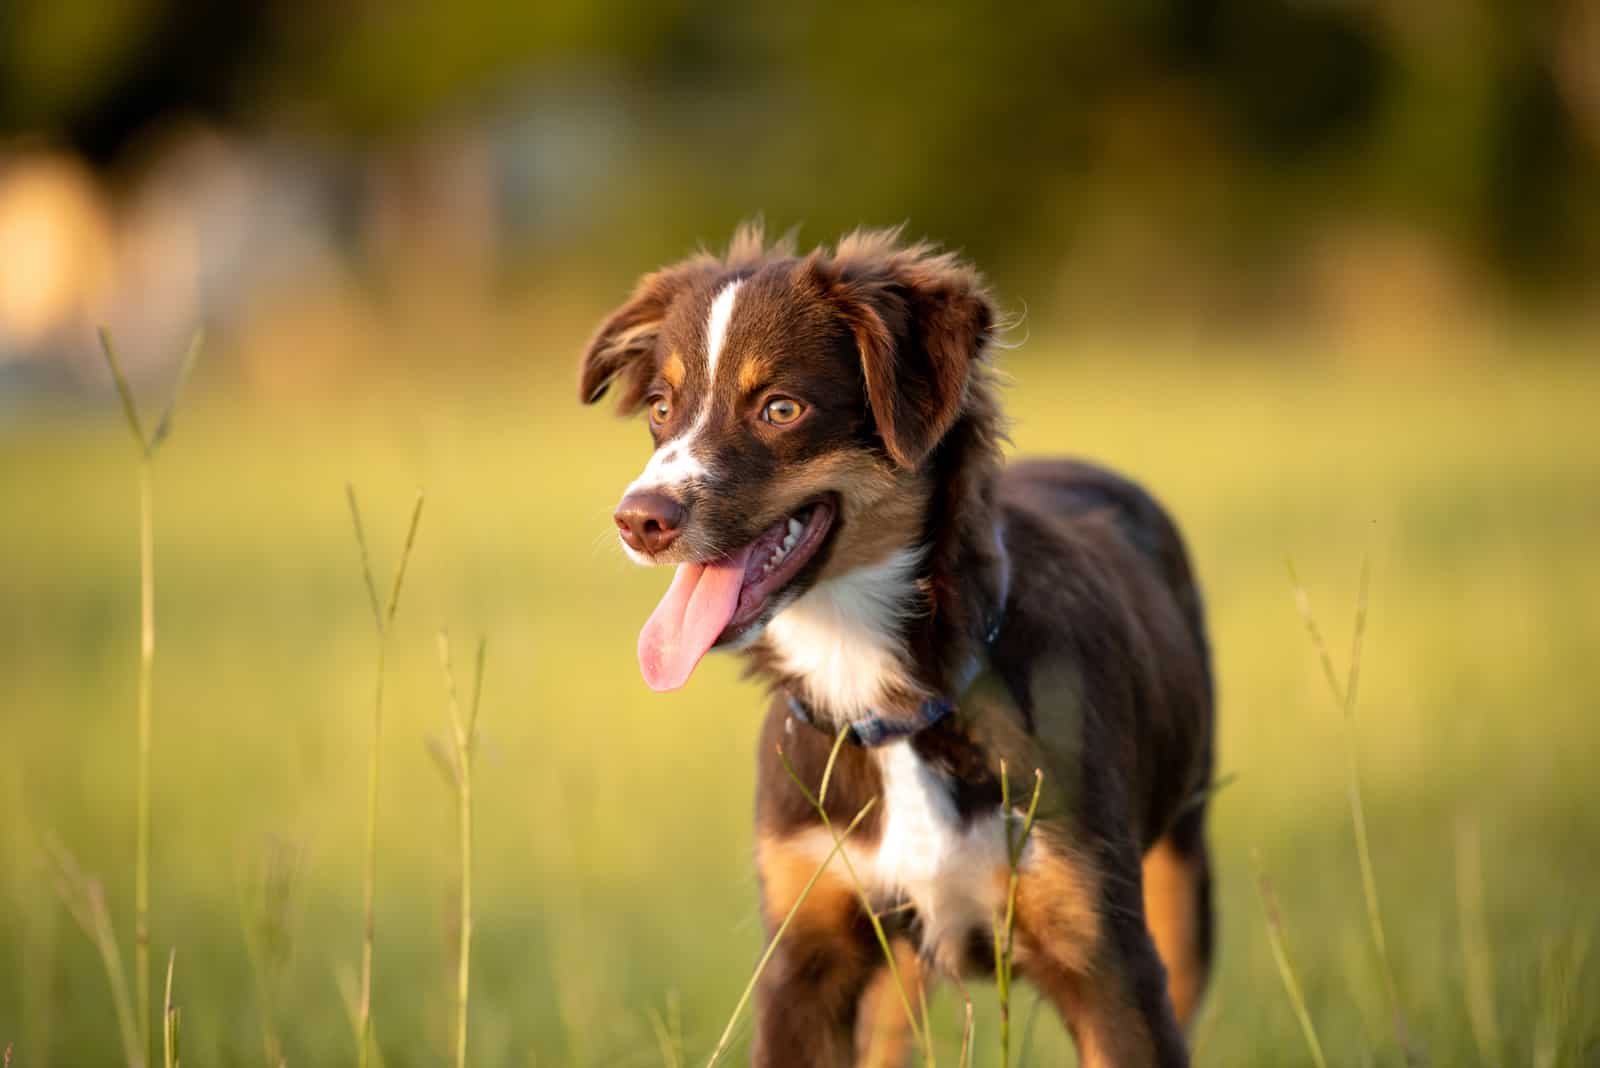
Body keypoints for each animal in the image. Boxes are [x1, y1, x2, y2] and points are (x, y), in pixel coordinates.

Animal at [582, 227, 1216, 1068]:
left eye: (780, 408)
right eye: (661, 408)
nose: (638, 521)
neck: (884, 695)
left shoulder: (1106, 957)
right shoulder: (805, 956)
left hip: (1182, 878)